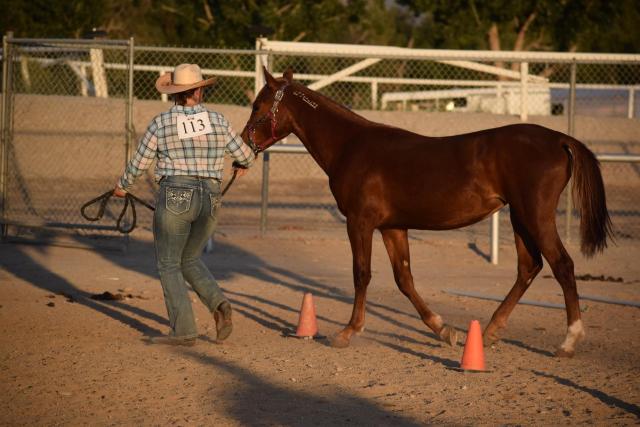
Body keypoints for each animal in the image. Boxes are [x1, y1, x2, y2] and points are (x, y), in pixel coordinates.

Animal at [242, 69, 612, 358]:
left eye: (258, 104)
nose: (244, 141)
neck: (351, 146)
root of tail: (559, 139)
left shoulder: (360, 223)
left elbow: (361, 274)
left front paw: (348, 332)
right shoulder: (392, 228)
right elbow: (404, 280)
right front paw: (444, 330)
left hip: (535, 215)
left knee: (562, 265)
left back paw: (568, 341)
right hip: (520, 218)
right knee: (529, 267)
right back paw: (490, 331)